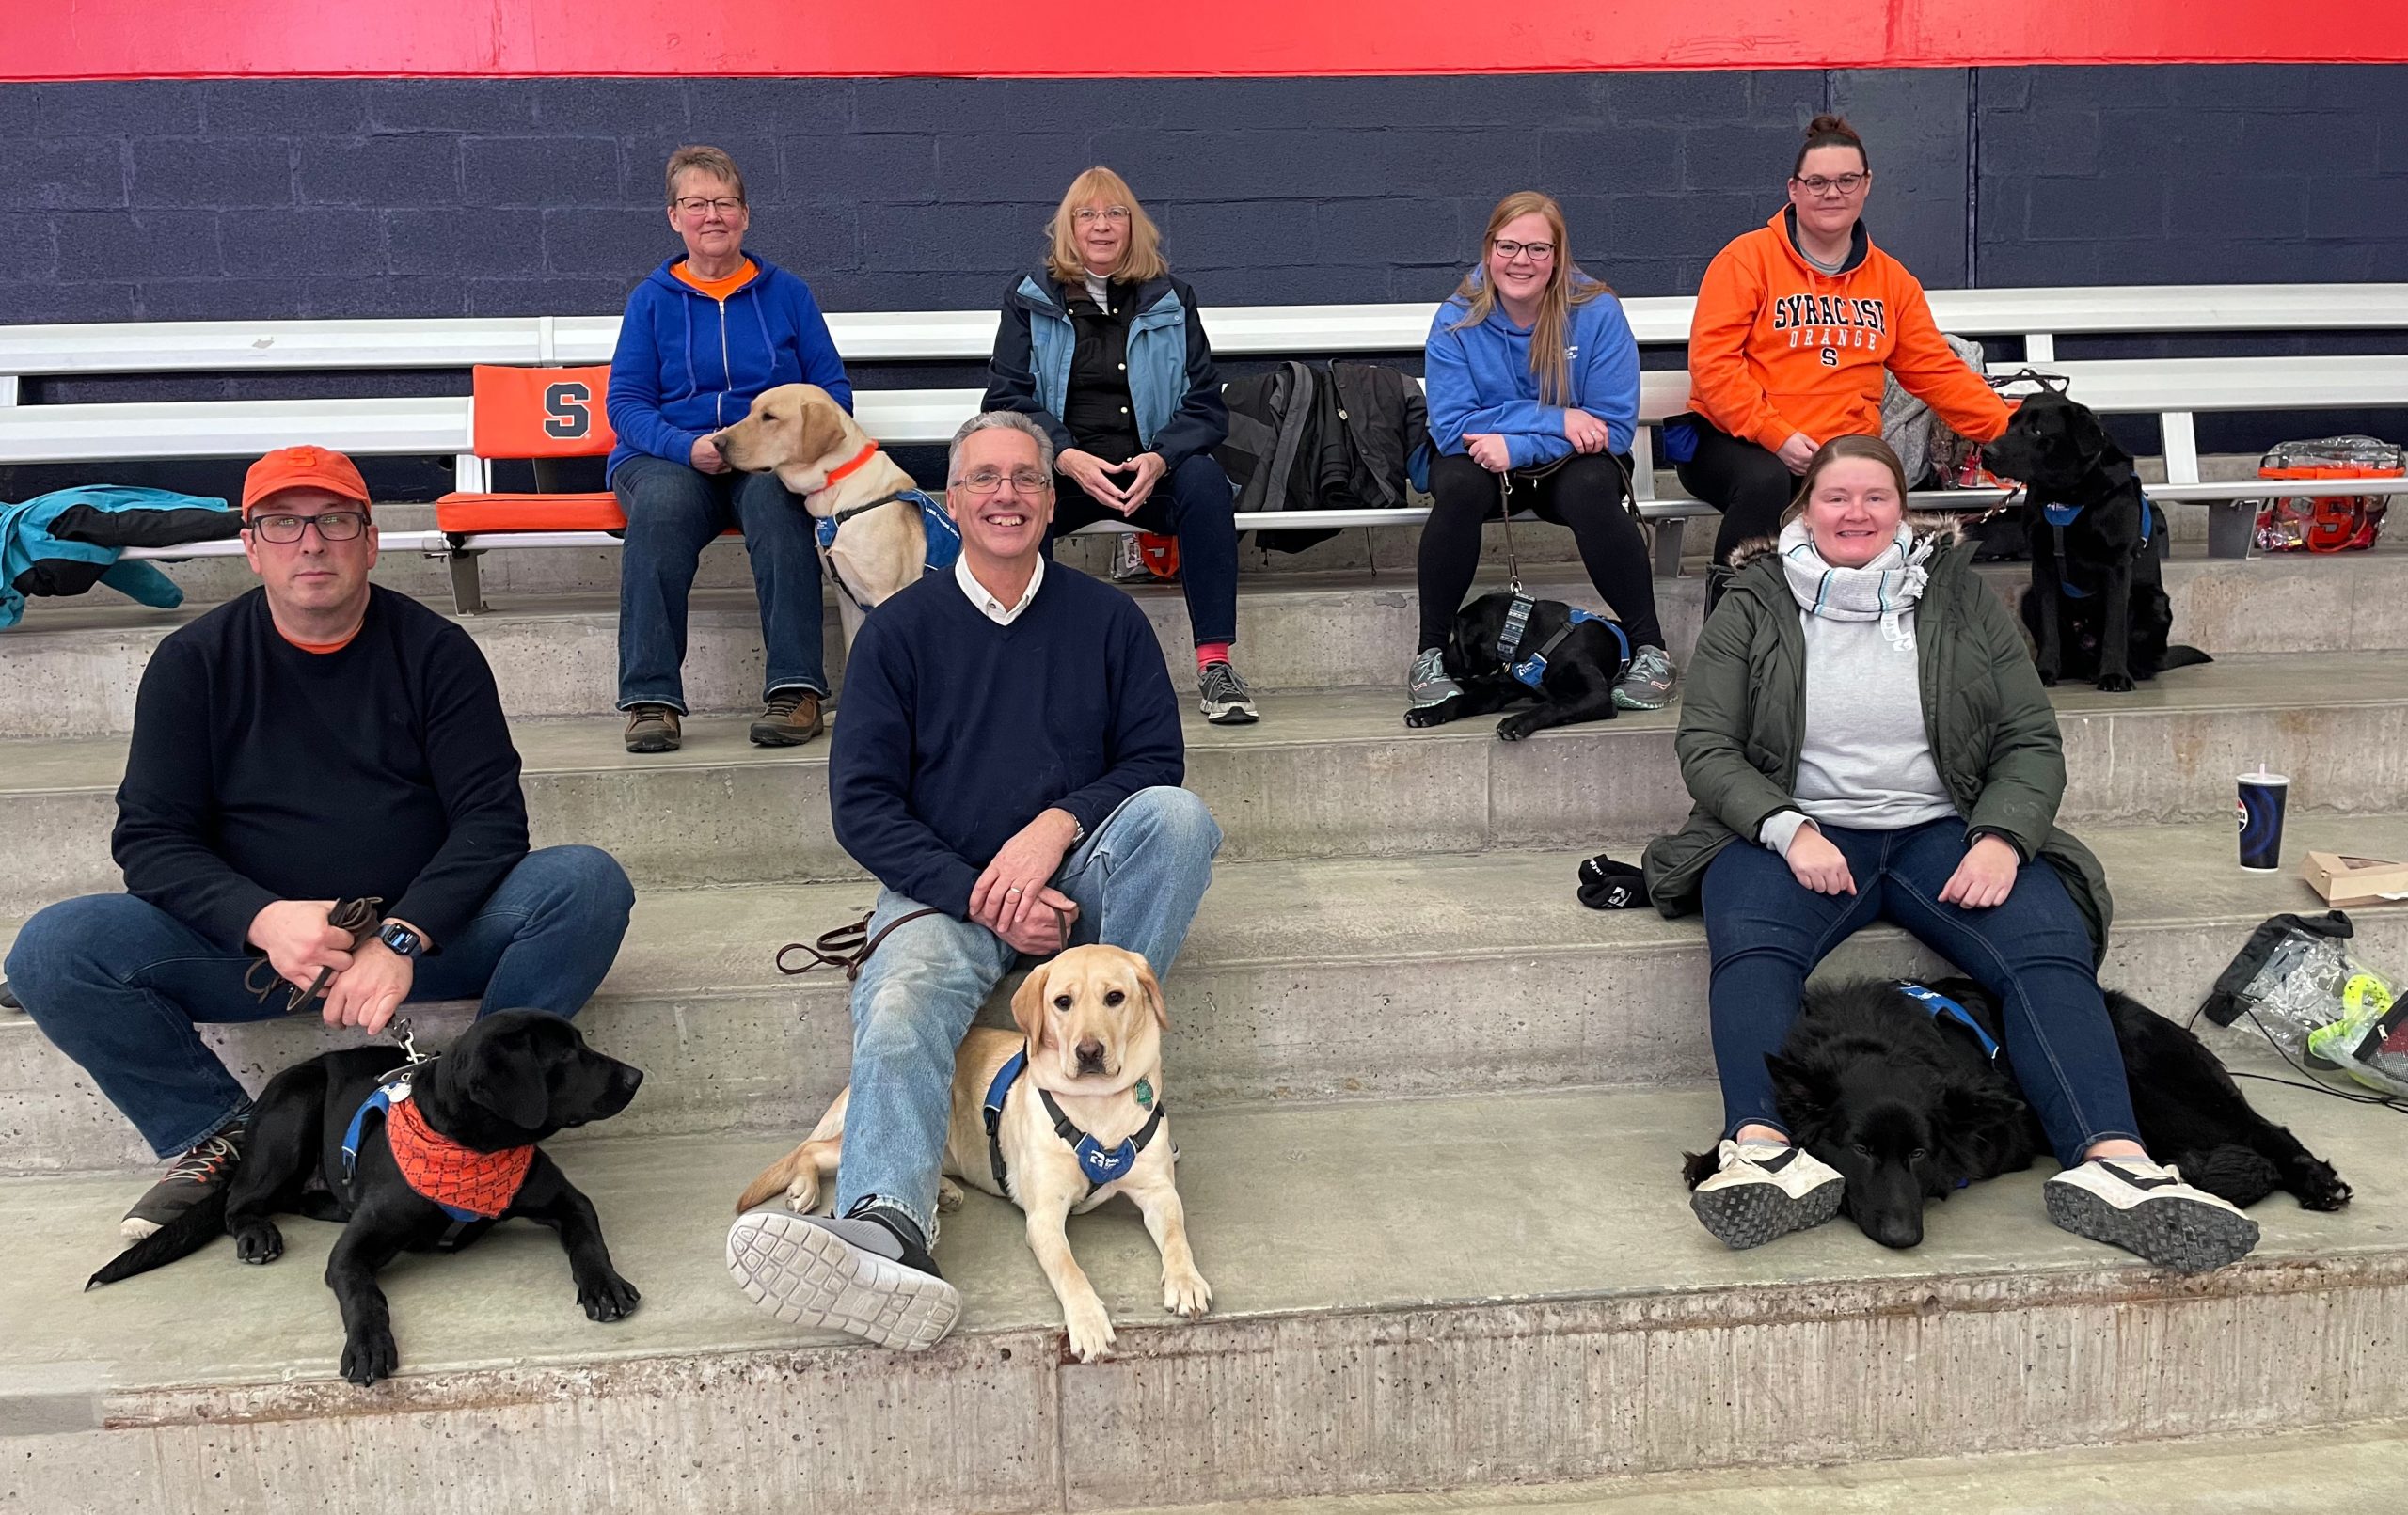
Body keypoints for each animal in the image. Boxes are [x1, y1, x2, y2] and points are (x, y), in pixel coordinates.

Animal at [90, 1011, 645, 1387]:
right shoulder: (351, 1253)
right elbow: (363, 1294)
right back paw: (256, 1234)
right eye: (566, 1055)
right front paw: (368, 1344)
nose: (636, 1076)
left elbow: (587, 1241)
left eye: (581, 1045)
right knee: (240, 1203)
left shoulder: (569, 1201)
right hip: (293, 1112)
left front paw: (605, 1286)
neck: (471, 1147)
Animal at [1406, 585, 1627, 736]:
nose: (1443, 658)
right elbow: (1461, 700)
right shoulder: (1499, 690)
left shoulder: (1597, 696)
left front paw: (1517, 721)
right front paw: (1427, 713)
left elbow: (1557, 705)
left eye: (1456, 637)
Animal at [1686, 972, 2340, 1242]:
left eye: (1919, 1153)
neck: (1876, 1039)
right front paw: (1717, 1162)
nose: (1903, 1238)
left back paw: (2319, 1182)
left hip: (2162, 1091)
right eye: (1861, 1150)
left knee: (2267, 1132)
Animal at [1974, 392, 2215, 693]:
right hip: (2029, 597)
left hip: (2153, 603)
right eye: (2010, 424)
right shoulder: (2043, 565)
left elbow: (2114, 627)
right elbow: (2050, 627)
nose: (1987, 452)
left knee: (2145, 662)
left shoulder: (2117, 565)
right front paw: (2045, 671)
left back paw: (2114, 671)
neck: (2065, 495)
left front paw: (2114, 676)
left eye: (2037, 431)